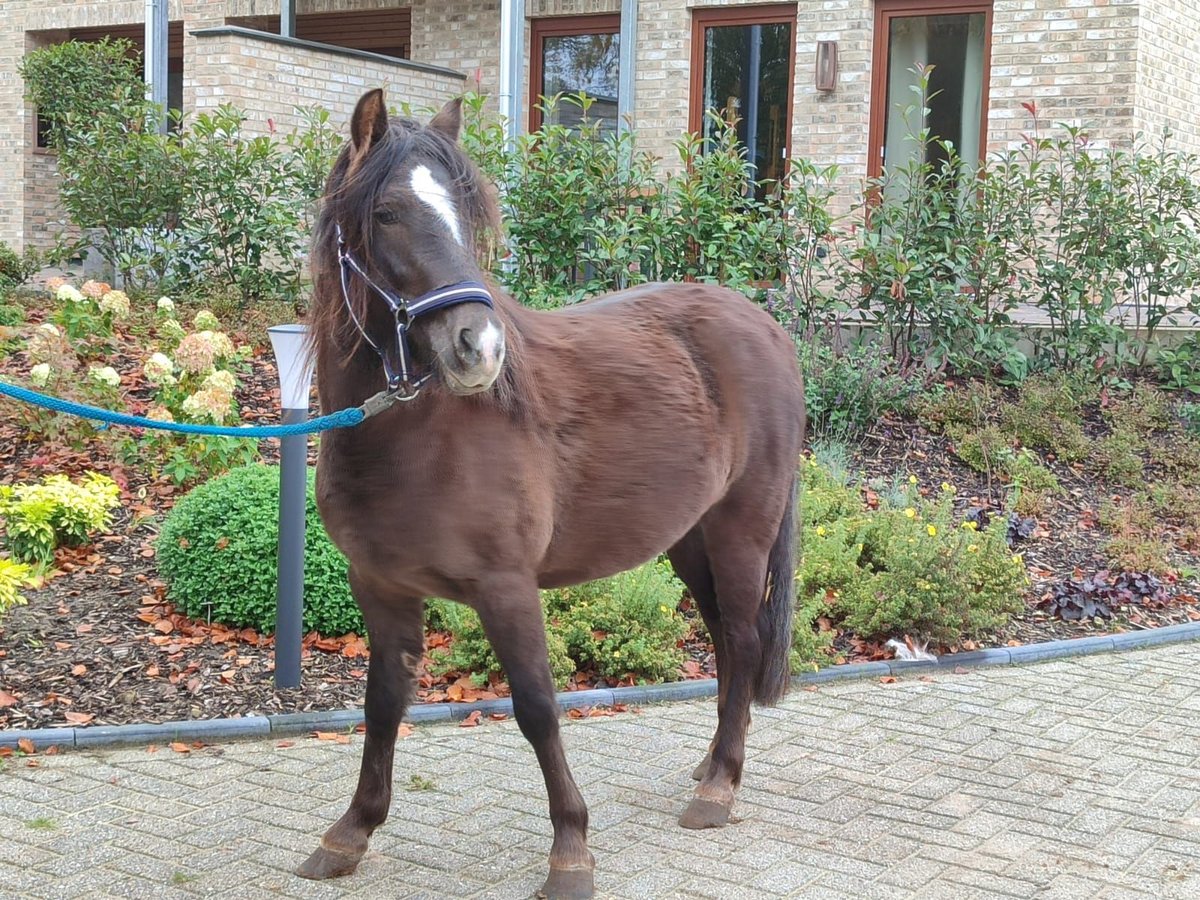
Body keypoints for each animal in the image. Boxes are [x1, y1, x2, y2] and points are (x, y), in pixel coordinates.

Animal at [298, 88, 806, 897]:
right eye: (386, 213)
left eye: (468, 210)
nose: (478, 346)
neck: (417, 436)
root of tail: (768, 326)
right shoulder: (379, 586)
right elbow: (381, 706)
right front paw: (350, 832)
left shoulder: (506, 586)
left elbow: (537, 706)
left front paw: (571, 849)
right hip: (687, 542)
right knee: (729, 643)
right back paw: (711, 767)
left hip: (740, 531)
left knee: (748, 639)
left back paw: (720, 787)